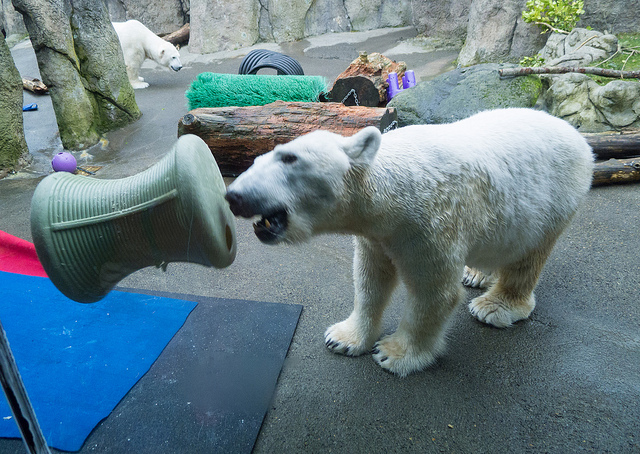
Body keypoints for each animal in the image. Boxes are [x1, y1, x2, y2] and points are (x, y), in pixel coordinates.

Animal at [225, 108, 594, 377]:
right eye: (257, 159)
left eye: (289, 158)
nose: (234, 196)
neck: (391, 191)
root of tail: (578, 136)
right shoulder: (378, 234)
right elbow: (369, 279)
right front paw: (343, 338)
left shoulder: (430, 224)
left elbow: (434, 292)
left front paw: (395, 354)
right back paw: (476, 273)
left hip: (553, 198)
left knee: (528, 255)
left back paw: (495, 306)